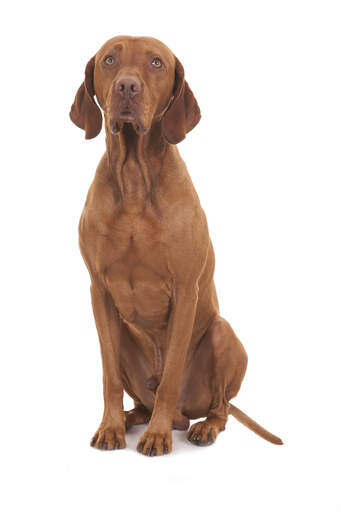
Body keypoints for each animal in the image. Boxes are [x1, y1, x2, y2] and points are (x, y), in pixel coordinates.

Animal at [69, 35, 282, 456]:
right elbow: (108, 378)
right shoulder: (99, 292)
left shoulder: (185, 289)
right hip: (125, 342)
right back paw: (133, 418)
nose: (127, 86)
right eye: (109, 60)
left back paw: (199, 428)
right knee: (141, 398)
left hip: (222, 335)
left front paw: (157, 435)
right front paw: (110, 427)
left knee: (219, 407)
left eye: (156, 63)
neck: (134, 179)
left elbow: (169, 379)